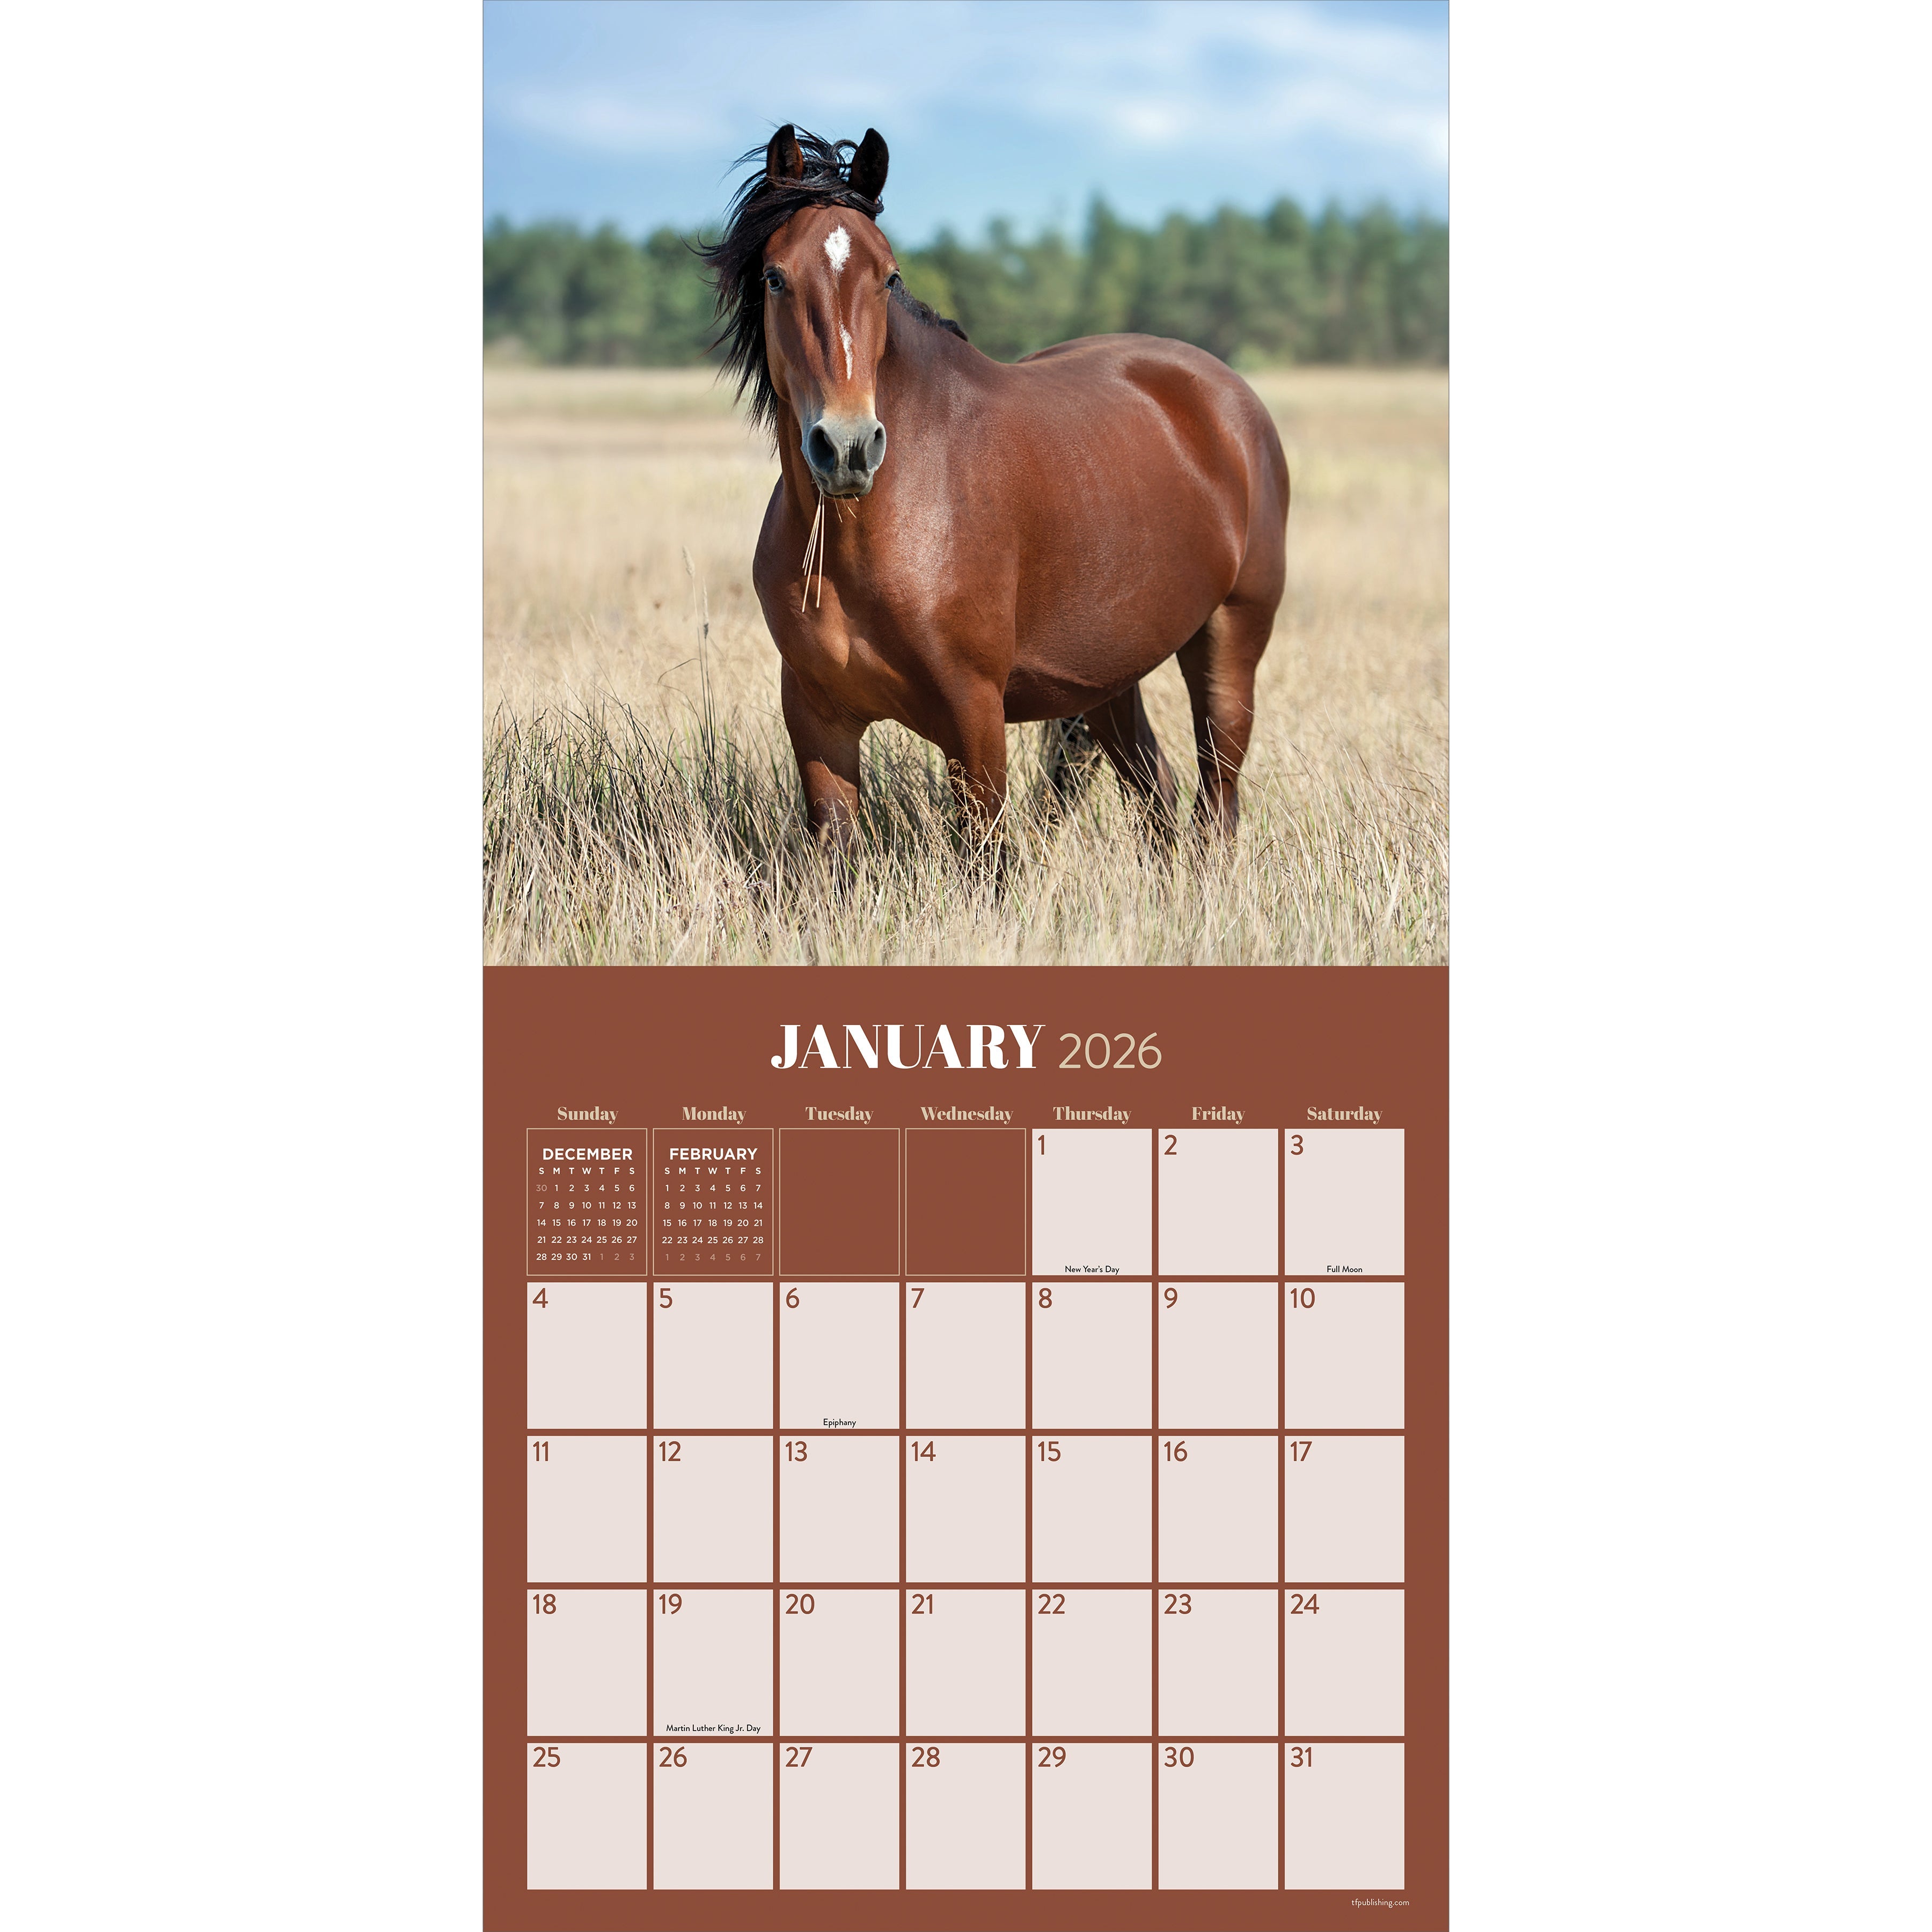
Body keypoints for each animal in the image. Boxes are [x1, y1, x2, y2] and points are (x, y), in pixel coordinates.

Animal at [702, 125, 1289, 858]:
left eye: (888, 277)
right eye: (776, 277)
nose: (848, 448)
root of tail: (1231, 398)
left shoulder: (974, 717)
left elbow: (987, 862)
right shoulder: (818, 721)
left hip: (1231, 643)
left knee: (1217, 800)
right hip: (1109, 680)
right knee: (1158, 792)